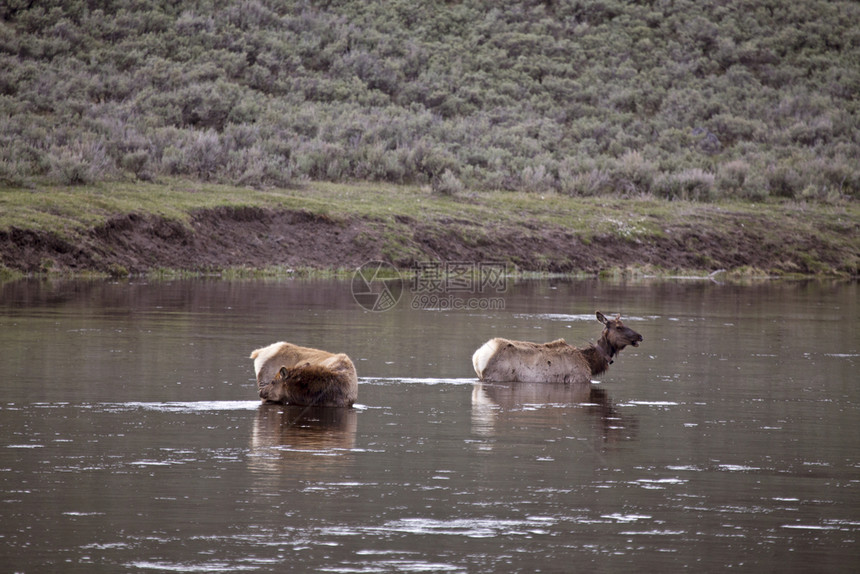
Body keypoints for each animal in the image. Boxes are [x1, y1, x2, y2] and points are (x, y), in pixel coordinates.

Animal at [470, 312, 644, 384]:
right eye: (619, 327)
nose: (639, 336)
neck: (590, 362)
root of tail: (477, 356)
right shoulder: (578, 379)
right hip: (498, 376)